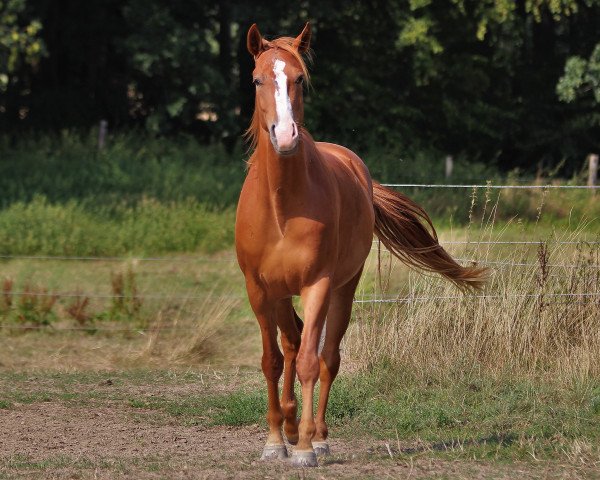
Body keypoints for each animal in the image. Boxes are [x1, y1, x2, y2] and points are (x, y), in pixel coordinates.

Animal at [234, 23, 488, 468]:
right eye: (257, 79)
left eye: (299, 79)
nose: (285, 136)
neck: (280, 208)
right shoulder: (259, 289)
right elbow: (272, 361)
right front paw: (274, 441)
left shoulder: (317, 285)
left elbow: (309, 362)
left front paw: (304, 448)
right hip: (281, 294)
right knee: (291, 343)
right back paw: (289, 425)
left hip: (343, 289)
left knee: (326, 357)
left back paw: (317, 436)